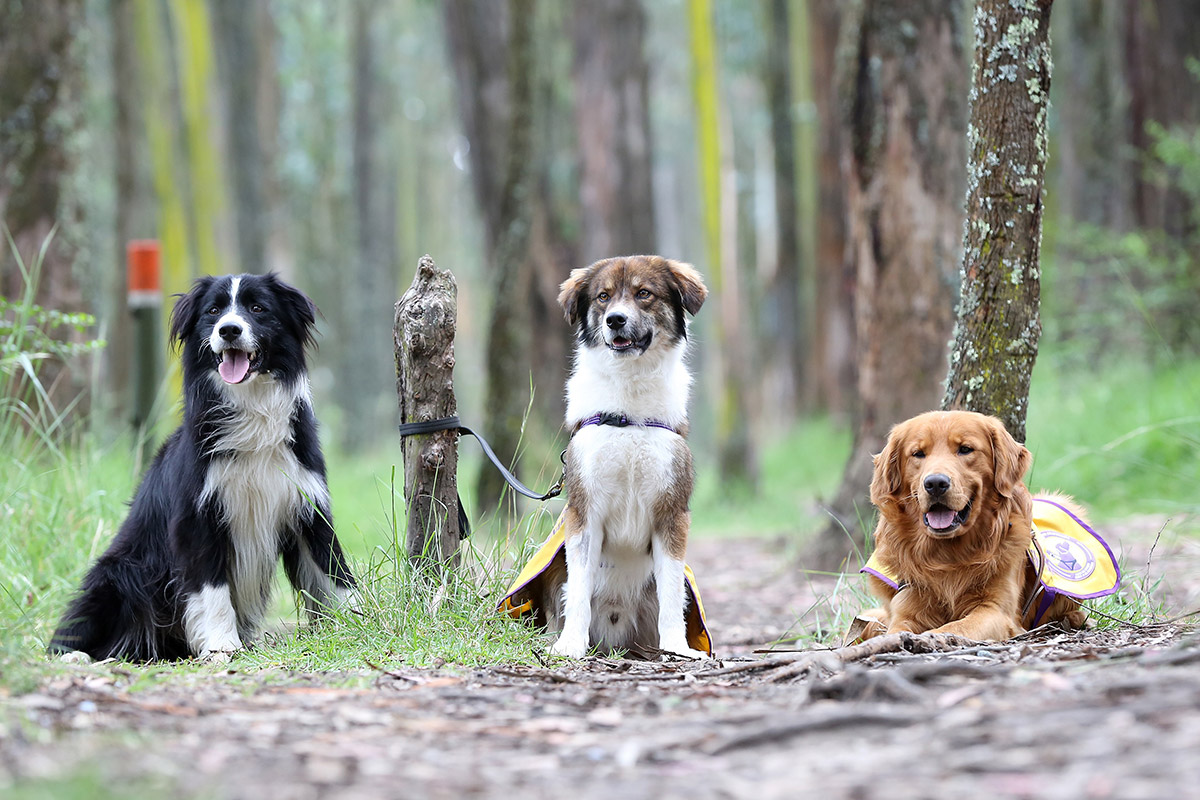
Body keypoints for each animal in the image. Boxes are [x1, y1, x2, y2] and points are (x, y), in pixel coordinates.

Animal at [549, 255, 705, 657]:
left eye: (643, 293)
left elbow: (671, 590)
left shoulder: (672, 512)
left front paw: (677, 647)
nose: (615, 320)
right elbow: (578, 586)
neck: (627, 414)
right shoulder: (584, 510)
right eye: (603, 297)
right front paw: (569, 644)